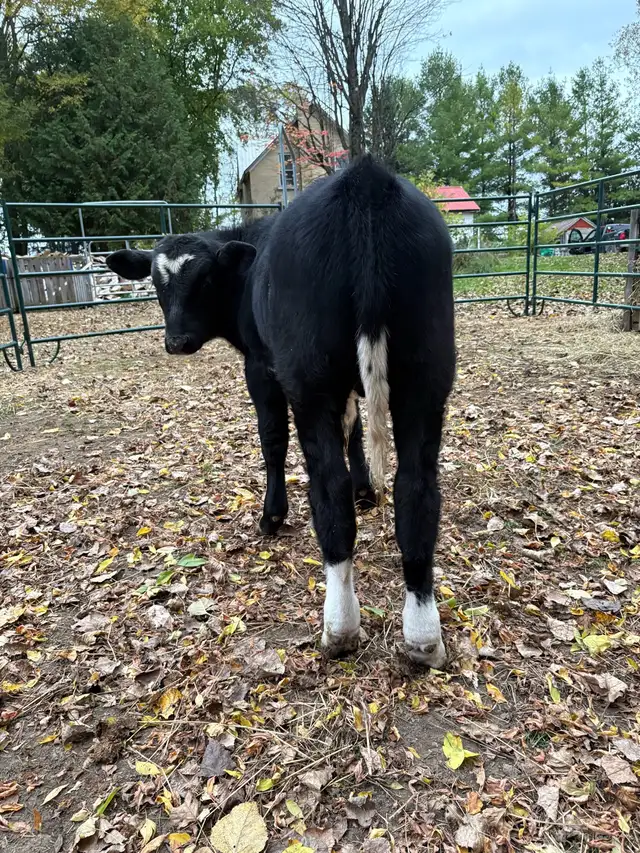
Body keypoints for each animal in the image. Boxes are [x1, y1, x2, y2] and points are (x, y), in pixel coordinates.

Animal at [106, 156, 455, 667]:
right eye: (157, 282)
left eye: (205, 279)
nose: (177, 341)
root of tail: (365, 180)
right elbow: (354, 430)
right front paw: (365, 489)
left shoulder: (261, 365)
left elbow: (272, 439)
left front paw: (271, 516)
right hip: (427, 377)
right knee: (416, 488)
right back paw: (423, 634)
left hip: (309, 378)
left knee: (328, 489)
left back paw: (339, 626)